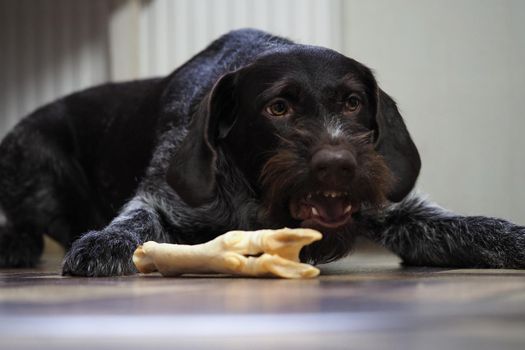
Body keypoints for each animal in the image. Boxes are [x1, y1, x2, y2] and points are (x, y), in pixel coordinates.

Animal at [0, 29, 520, 276]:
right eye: (278, 108)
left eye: (353, 102)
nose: (339, 165)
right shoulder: (161, 199)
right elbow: (135, 220)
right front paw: (104, 243)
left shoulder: (403, 214)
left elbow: (478, 228)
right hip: (27, 156)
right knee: (28, 223)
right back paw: (15, 243)